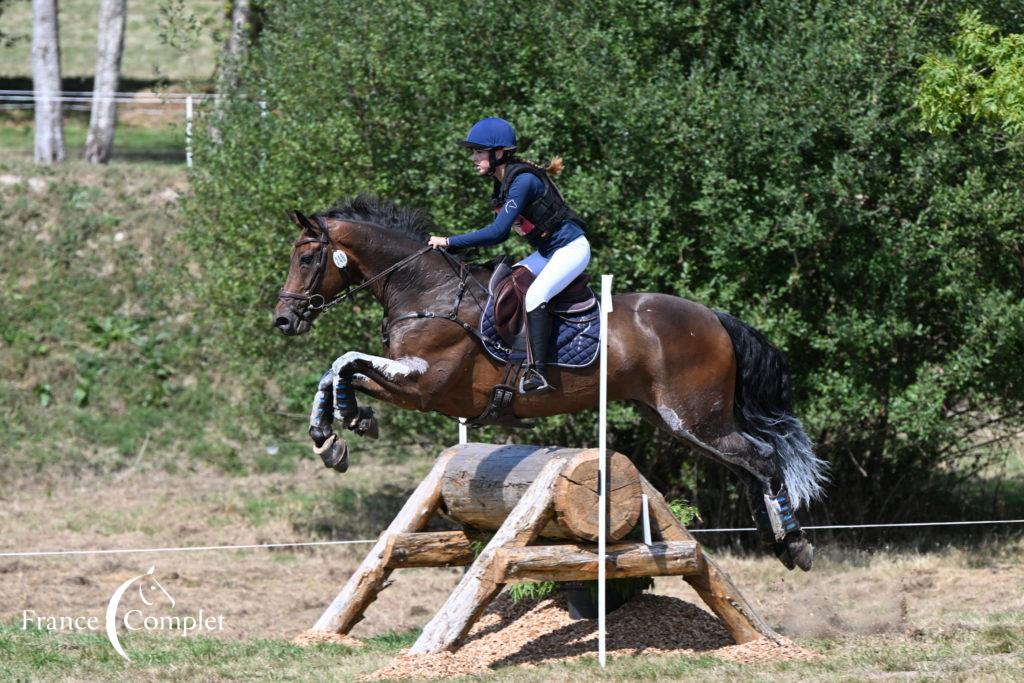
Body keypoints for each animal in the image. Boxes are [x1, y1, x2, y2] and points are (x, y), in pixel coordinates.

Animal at [276, 194, 827, 569]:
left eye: (306, 259)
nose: (284, 321)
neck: (426, 292)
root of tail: (714, 317)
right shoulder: (416, 386)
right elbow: (337, 371)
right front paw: (332, 436)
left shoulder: (426, 386)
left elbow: (345, 361)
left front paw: (348, 422)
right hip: (679, 420)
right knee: (749, 465)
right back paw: (777, 540)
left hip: (695, 417)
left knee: (762, 458)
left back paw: (796, 542)